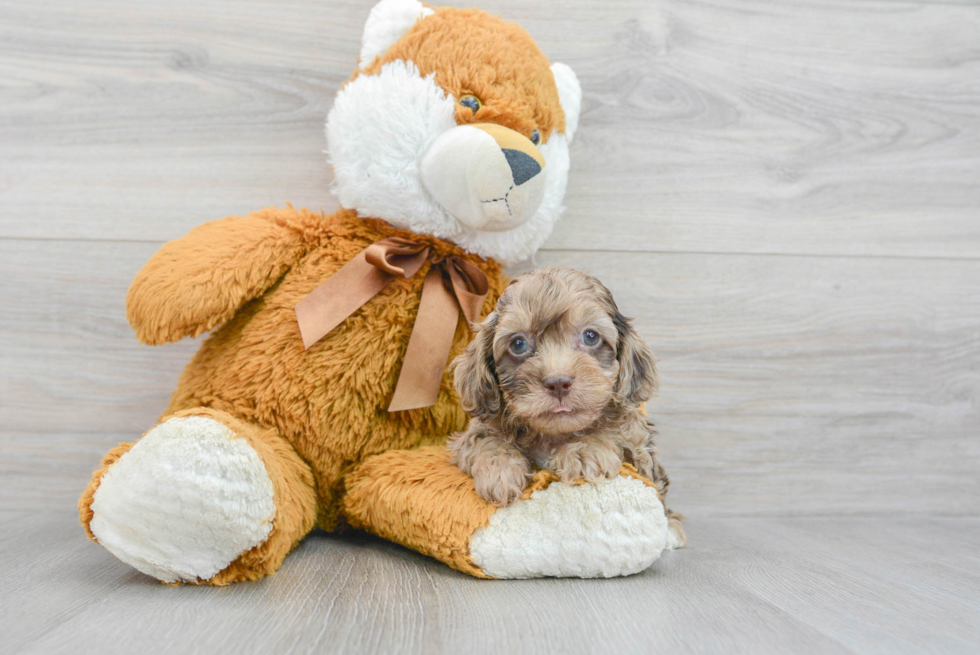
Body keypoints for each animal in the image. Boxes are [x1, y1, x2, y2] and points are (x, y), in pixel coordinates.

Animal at [450, 270, 684, 544]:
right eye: (518, 344)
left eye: (590, 337)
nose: (558, 382)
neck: (554, 434)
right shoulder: (469, 436)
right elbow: (484, 439)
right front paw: (499, 470)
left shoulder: (639, 446)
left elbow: (614, 432)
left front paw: (584, 451)